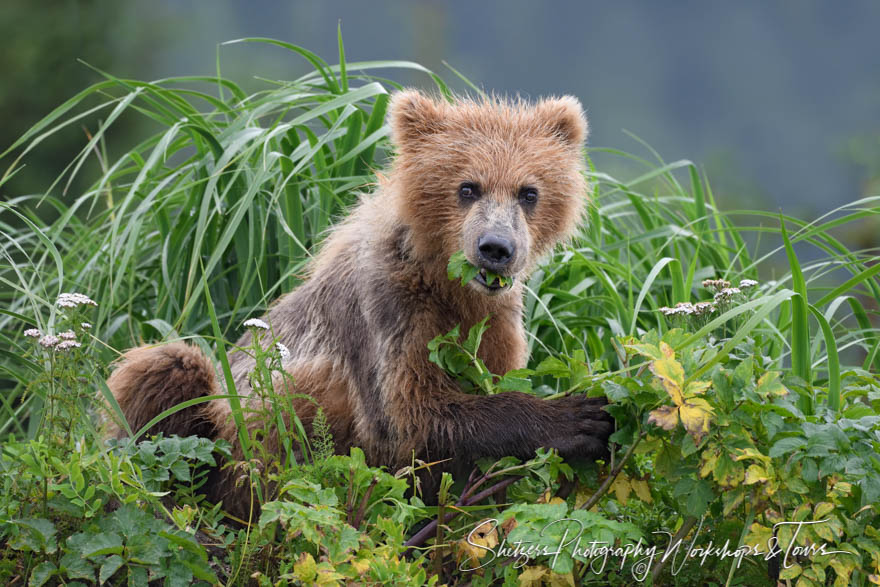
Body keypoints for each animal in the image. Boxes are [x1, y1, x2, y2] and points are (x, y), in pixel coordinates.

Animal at [105, 87, 612, 520]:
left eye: (529, 192)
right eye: (468, 186)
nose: (496, 248)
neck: (446, 287)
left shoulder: (496, 324)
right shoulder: (386, 314)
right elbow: (409, 415)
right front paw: (577, 418)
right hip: (224, 431)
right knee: (167, 375)